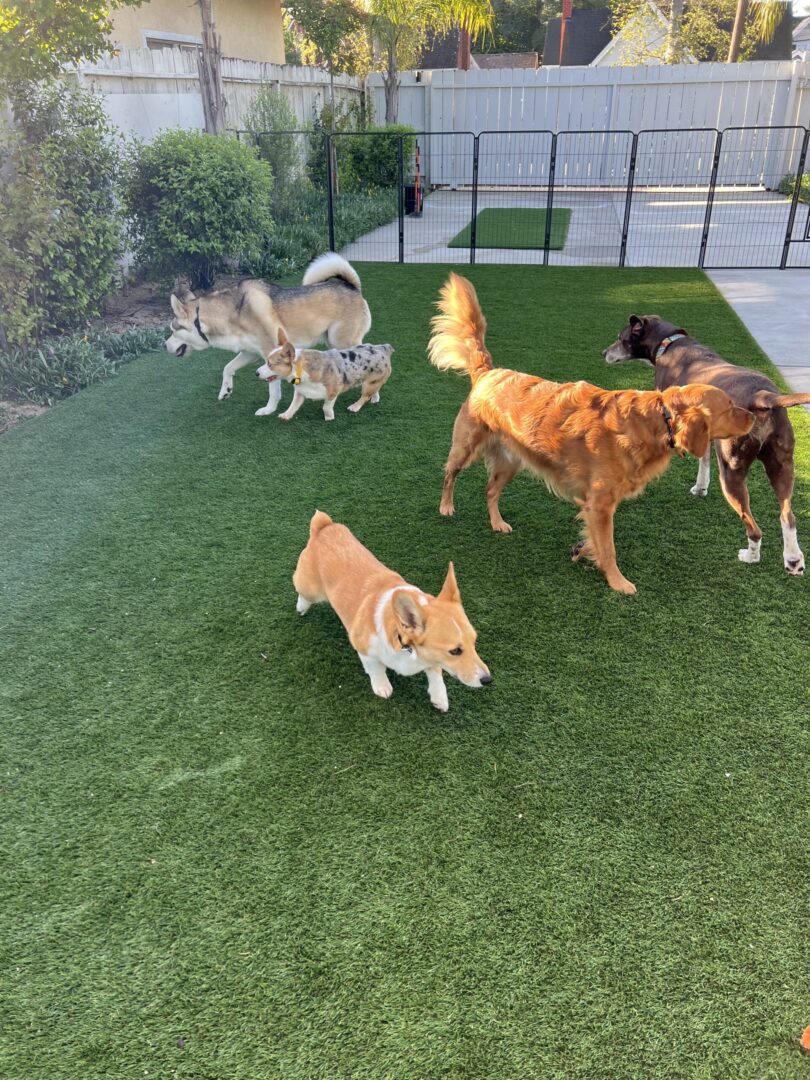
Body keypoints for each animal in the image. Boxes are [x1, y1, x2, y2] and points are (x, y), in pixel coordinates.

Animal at [432, 274, 756, 596]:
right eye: (729, 407)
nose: (754, 416)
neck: (653, 420)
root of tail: (489, 372)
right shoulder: (600, 504)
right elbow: (609, 548)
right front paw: (617, 581)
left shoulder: (596, 503)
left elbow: (596, 541)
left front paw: (584, 551)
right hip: (466, 446)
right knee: (449, 474)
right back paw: (446, 506)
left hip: (510, 461)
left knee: (490, 491)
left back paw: (497, 523)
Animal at [604, 315, 807, 574]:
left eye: (621, 339)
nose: (603, 352)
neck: (669, 343)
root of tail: (762, 396)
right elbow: (703, 462)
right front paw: (700, 488)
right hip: (782, 464)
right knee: (788, 516)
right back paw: (793, 560)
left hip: (731, 472)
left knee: (754, 528)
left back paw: (750, 557)